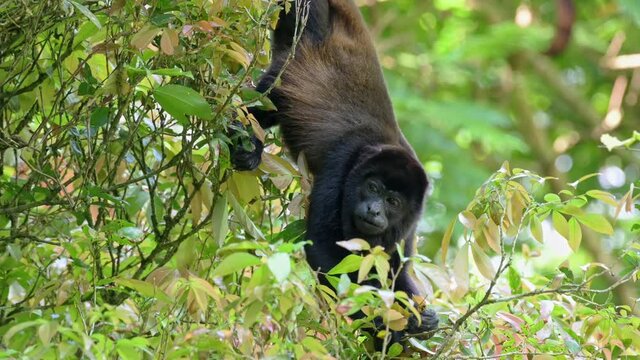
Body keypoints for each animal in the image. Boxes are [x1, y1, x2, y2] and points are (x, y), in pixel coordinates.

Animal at [232, 0, 438, 338]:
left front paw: (424, 317)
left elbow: (395, 268)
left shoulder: (412, 221)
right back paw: (246, 145)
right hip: (304, 29)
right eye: (372, 187)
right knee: (269, 96)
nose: (374, 210)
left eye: (393, 202)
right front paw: (384, 322)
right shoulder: (342, 163)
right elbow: (323, 249)